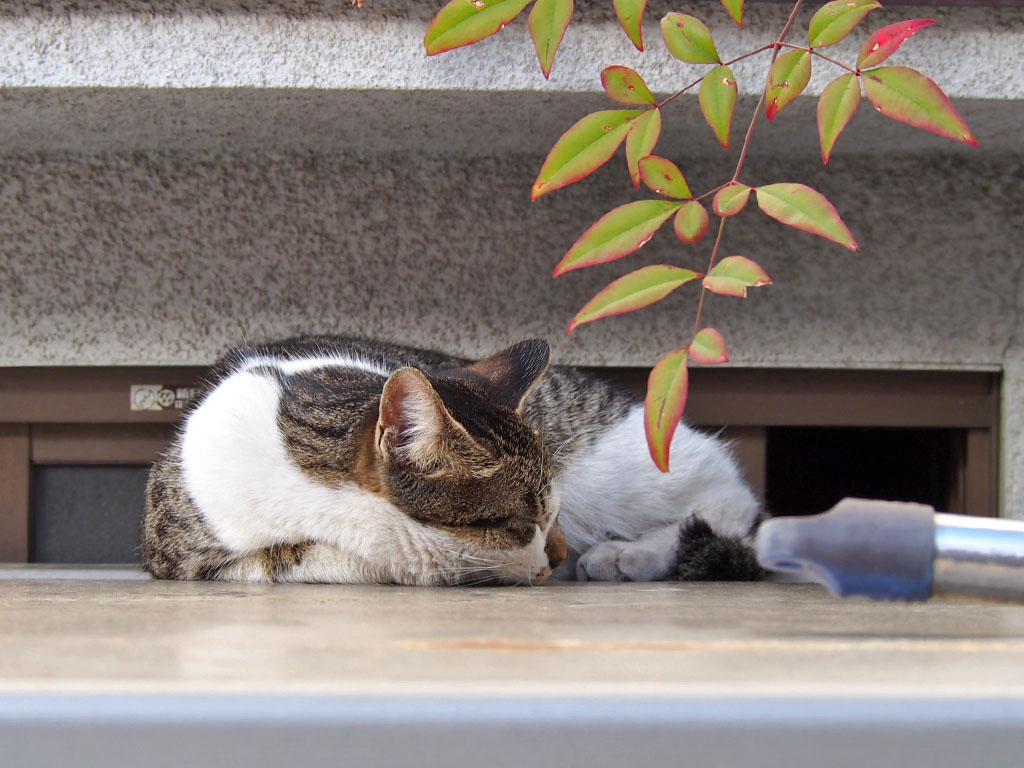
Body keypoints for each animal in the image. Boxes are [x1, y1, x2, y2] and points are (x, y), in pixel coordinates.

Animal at [144, 335, 765, 581]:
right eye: (523, 521)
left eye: (551, 514)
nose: (559, 554)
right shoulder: (182, 550)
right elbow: (291, 558)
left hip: (618, 468)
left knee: (731, 500)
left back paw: (627, 554)